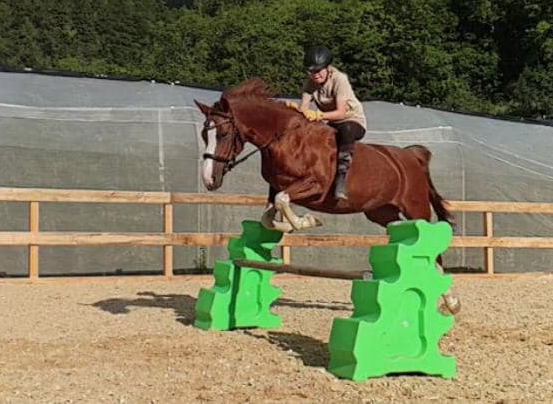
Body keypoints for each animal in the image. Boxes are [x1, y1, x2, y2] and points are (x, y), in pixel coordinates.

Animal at [192, 77, 460, 314]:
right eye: (204, 136)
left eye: (223, 134)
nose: (209, 180)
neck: (285, 138)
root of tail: (410, 156)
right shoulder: (277, 186)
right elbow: (268, 216)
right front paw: (292, 225)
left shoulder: (315, 186)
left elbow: (283, 201)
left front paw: (308, 221)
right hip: (381, 212)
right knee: (402, 230)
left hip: (416, 208)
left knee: (433, 249)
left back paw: (452, 302)